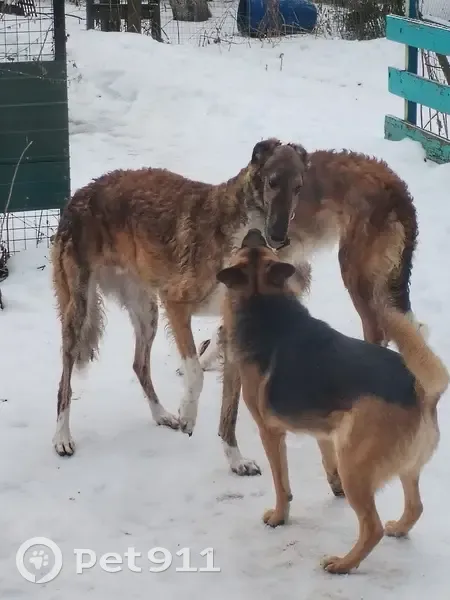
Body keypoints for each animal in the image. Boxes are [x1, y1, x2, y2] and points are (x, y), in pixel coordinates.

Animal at [216, 228, 448, 574]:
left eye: (246, 247)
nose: (257, 232)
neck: (265, 302)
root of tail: (421, 389)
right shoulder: (325, 428)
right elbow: (326, 457)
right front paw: (331, 484)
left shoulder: (271, 433)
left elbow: (281, 484)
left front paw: (279, 517)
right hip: (404, 466)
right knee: (415, 507)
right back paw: (398, 528)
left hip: (355, 465)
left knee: (372, 528)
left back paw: (343, 564)